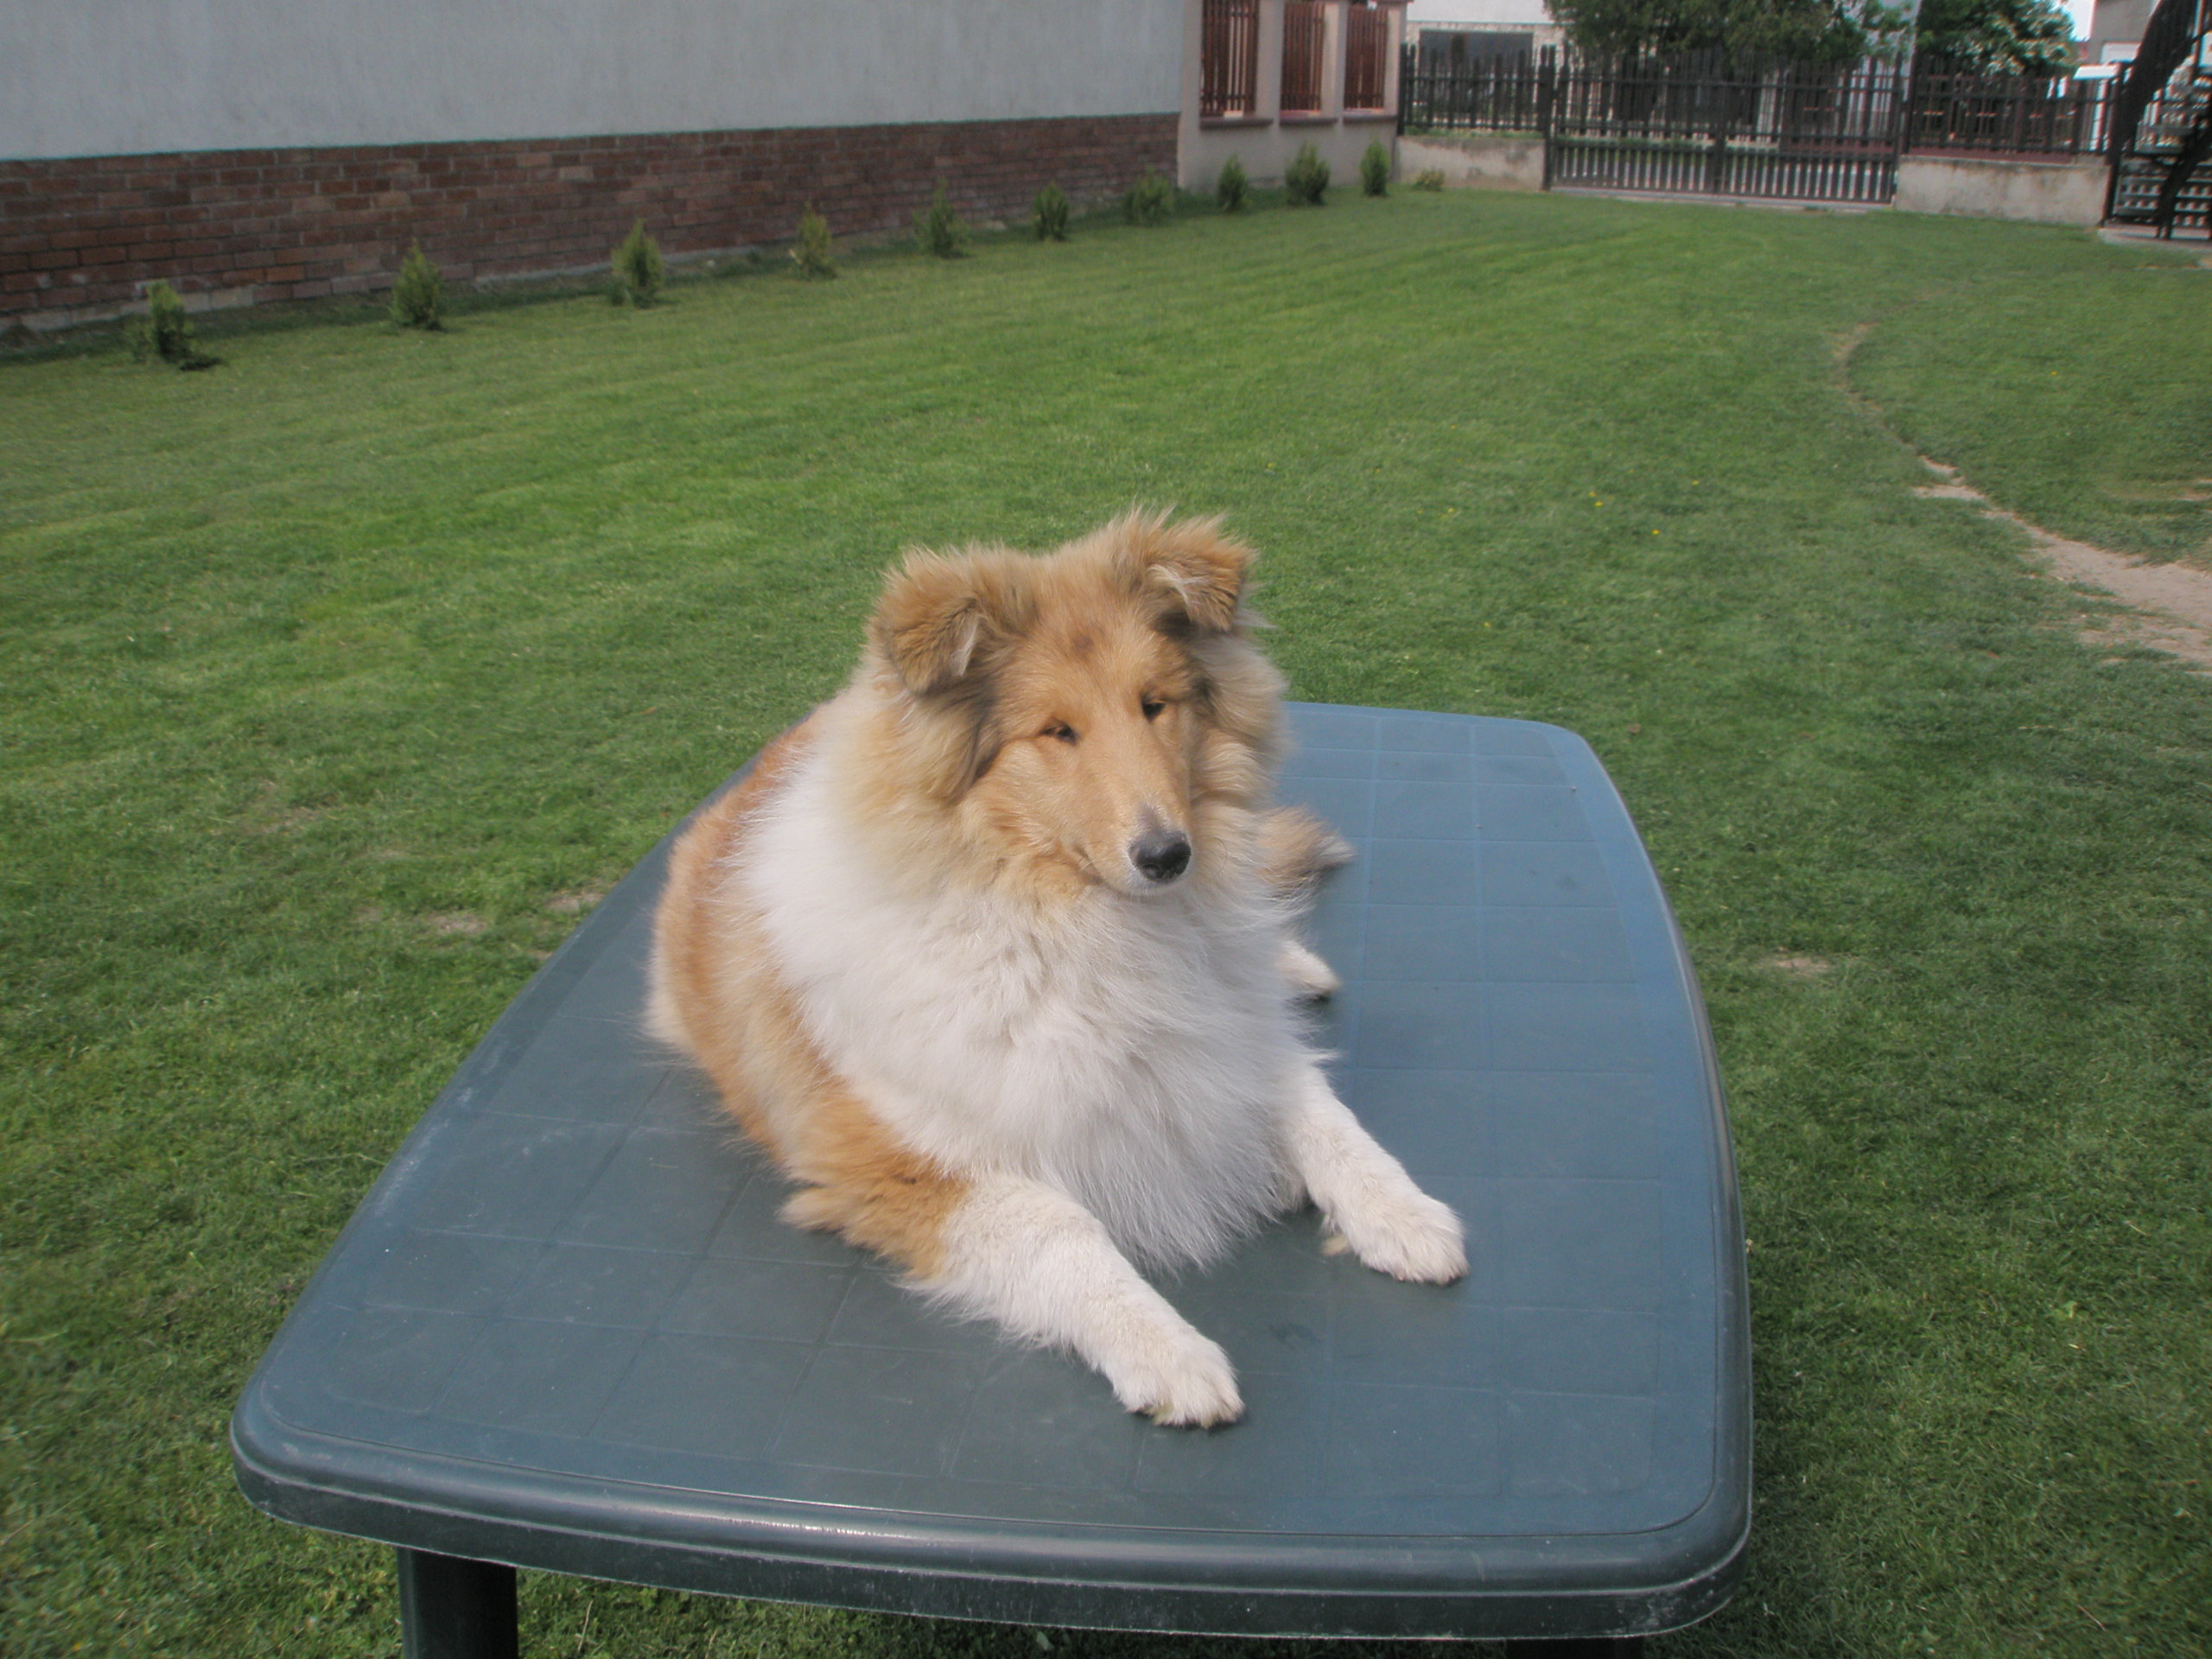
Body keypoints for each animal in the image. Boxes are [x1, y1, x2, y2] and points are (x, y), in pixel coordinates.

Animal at [647, 512, 1465, 1426]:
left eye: (1155, 706)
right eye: (1056, 732)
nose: (1167, 857)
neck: (1070, 922)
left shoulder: (1229, 1036)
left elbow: (1325, 1115)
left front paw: (1406, 1216)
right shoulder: (896, 1160)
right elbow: (1062, 1229)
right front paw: (1170, 1355)